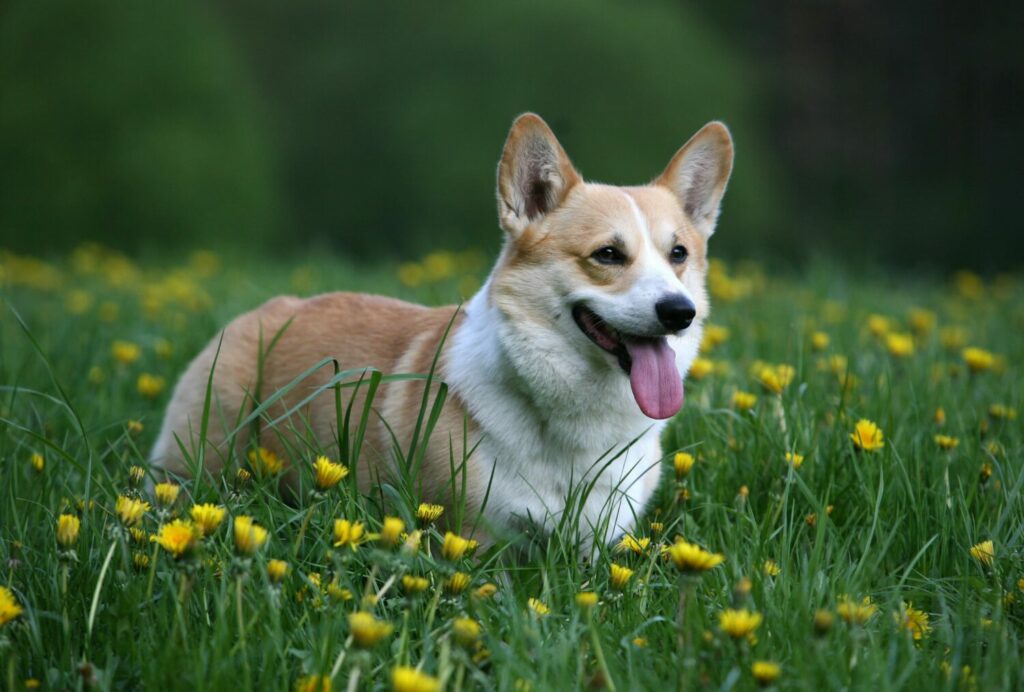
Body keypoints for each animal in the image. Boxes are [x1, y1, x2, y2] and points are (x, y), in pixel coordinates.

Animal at [148, 112, 733, 544]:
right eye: (608, 255)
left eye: (679, 254)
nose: (680, 312)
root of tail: (266, 309)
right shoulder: (475, 536)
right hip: (205, 455)